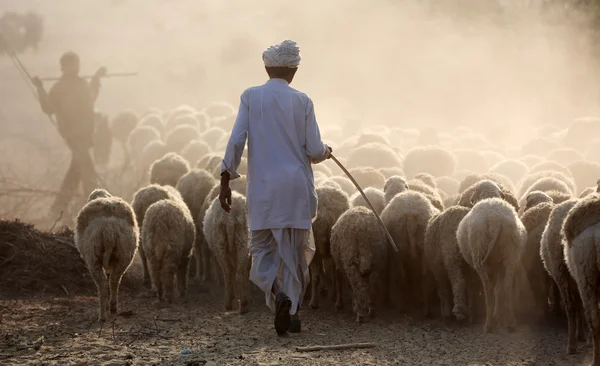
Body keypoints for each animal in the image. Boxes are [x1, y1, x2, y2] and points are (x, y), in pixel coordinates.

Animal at [74, 192, 139, 320]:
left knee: (102, 284)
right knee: (114, 280)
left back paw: (103, 315)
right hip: (123, 255)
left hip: (93, 257)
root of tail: (108, 230)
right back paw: (112, 308)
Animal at [458, 199, 528, 334]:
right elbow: (499, 289)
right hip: (510, 252)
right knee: (506, 286)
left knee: (488, 288)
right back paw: (510, 323)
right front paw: (498, 315)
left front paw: (496, 316)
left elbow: (495, 289)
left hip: (479, 251)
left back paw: (489, 325)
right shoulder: (498, 266)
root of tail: (494, 220)